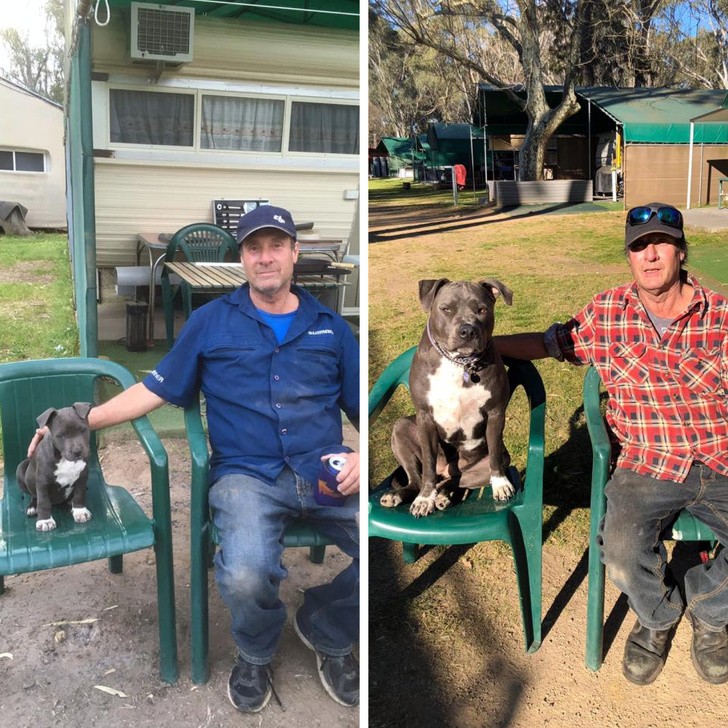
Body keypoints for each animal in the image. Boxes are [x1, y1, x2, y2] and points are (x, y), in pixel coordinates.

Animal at [17, 400, 92, 532]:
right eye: (60, 436)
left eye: (83, 430)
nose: (77, 451)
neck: (63, 458)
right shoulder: (42, 481)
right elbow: (43, 501)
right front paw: (45, 520)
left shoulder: (82, 476)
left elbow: (79, 494)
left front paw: (80, 511)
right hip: (21, 469)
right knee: (33, 495)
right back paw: (32, 507)